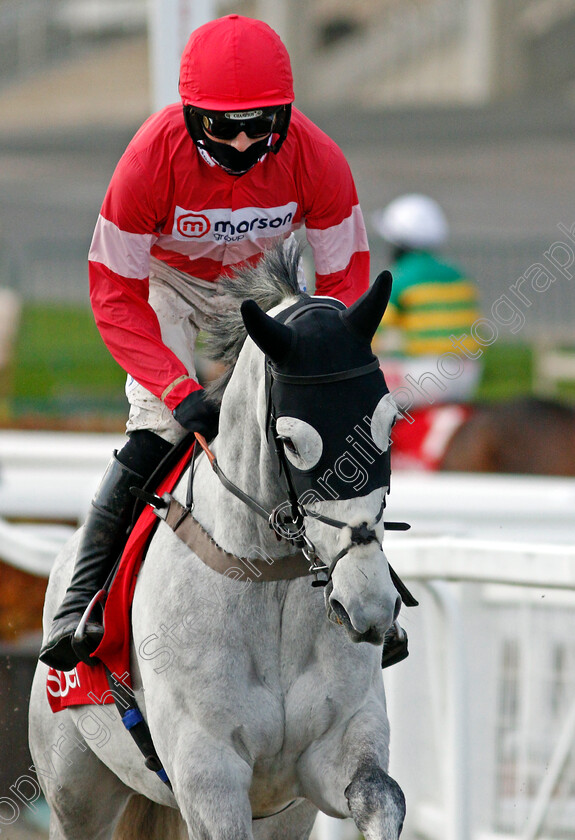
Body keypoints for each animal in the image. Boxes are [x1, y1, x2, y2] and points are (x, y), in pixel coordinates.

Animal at [29, 244, 408, 840]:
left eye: (389, 425)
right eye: (289, 441)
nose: (367, 605)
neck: (269, 580)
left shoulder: (331, 754)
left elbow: (381, 797)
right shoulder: (207, 772)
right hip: (75, 789)